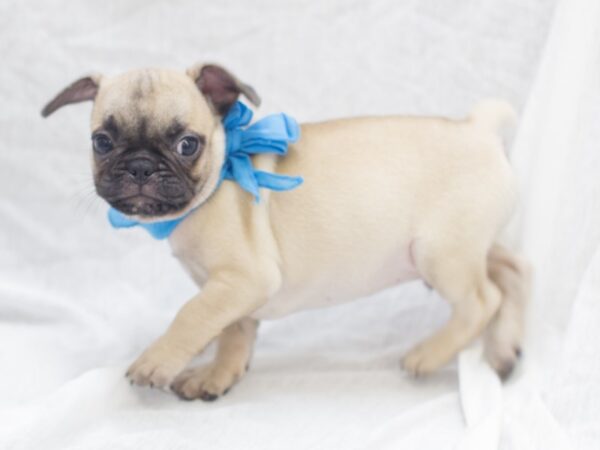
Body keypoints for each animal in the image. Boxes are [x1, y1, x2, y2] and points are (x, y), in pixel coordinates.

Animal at [42, 63, 528, 400]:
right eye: (102, 141)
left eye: (187, 144)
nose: (140, 166)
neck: (221, 174)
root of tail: (478, 128)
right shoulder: (235, 292)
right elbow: (234, 332)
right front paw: (219, 374)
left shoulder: (241, 280)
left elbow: (192, 315)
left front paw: (158, 360)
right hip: (471, 246)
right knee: (514, 271)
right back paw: (504, 350)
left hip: (441, 253)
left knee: (482, 299)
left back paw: (428, 355)